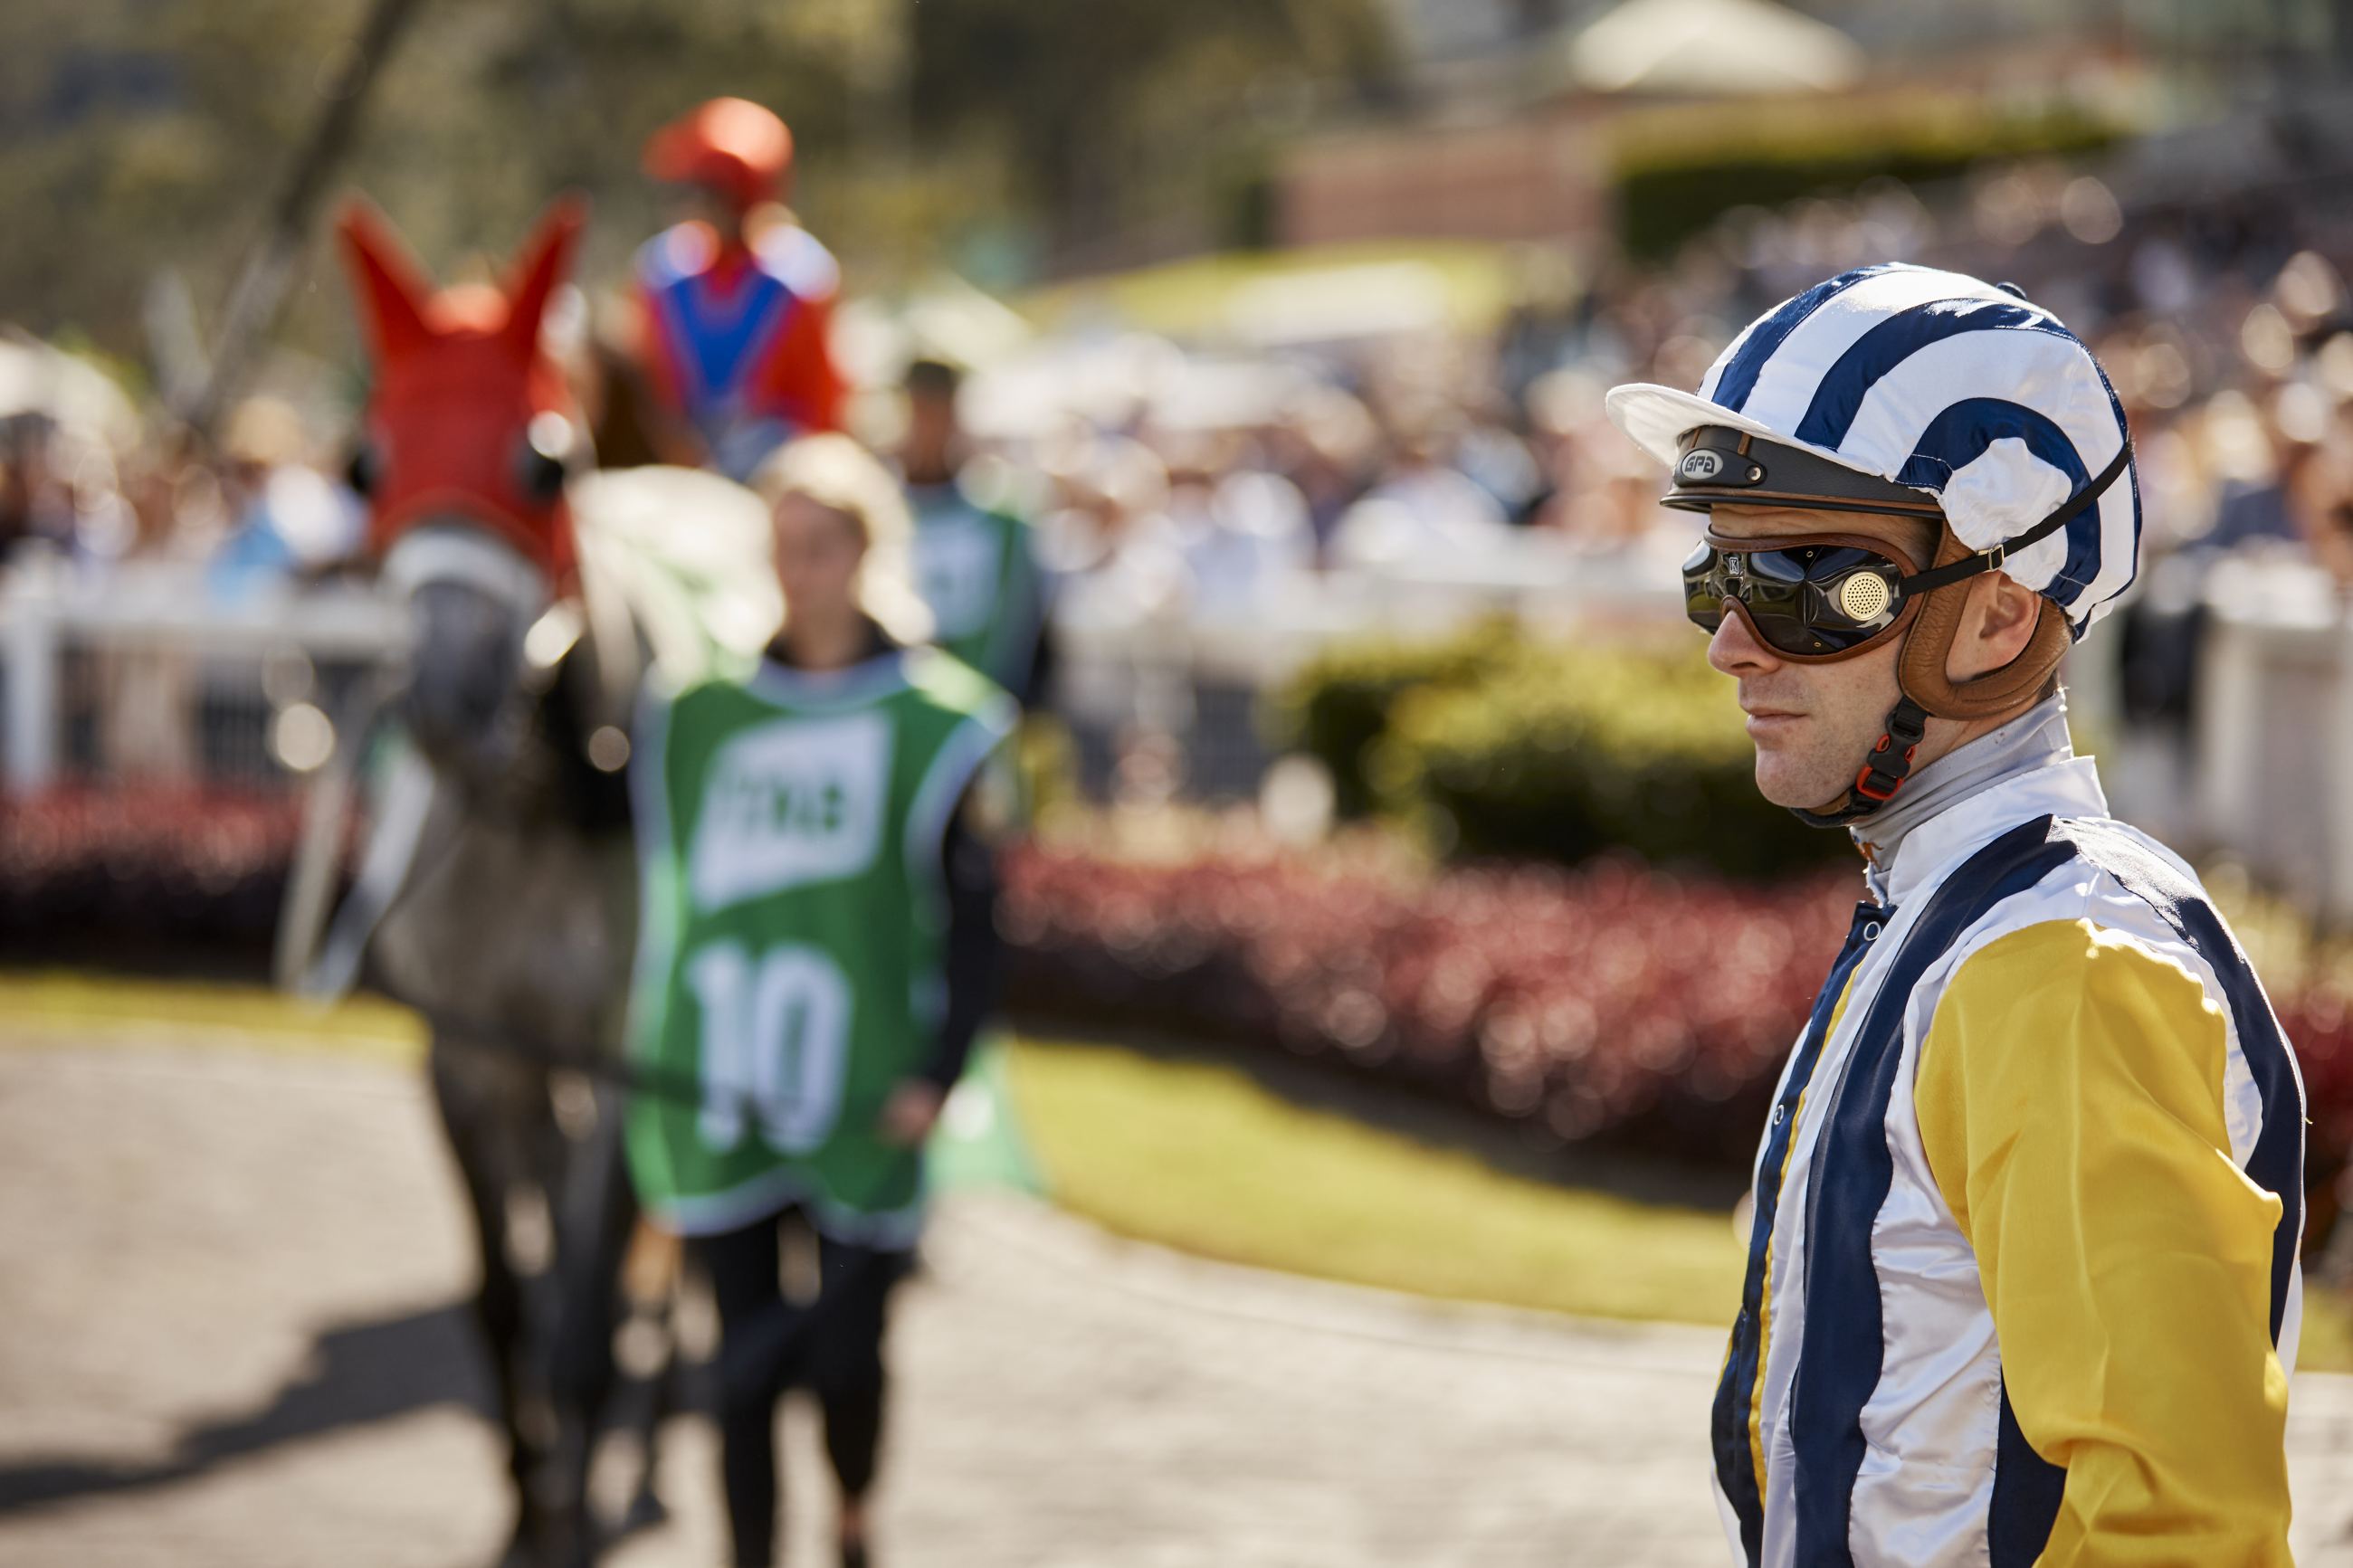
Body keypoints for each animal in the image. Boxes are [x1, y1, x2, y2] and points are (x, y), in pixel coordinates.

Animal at [287, 195, 781, 1568]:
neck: (537, 805)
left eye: (545, 463)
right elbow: (508, 1301)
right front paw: (524, 1488)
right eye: (365, 465)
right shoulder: (470, 1054)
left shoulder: (621, 1061)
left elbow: (583, 1320)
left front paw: (569, 1491)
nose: (448, 698)